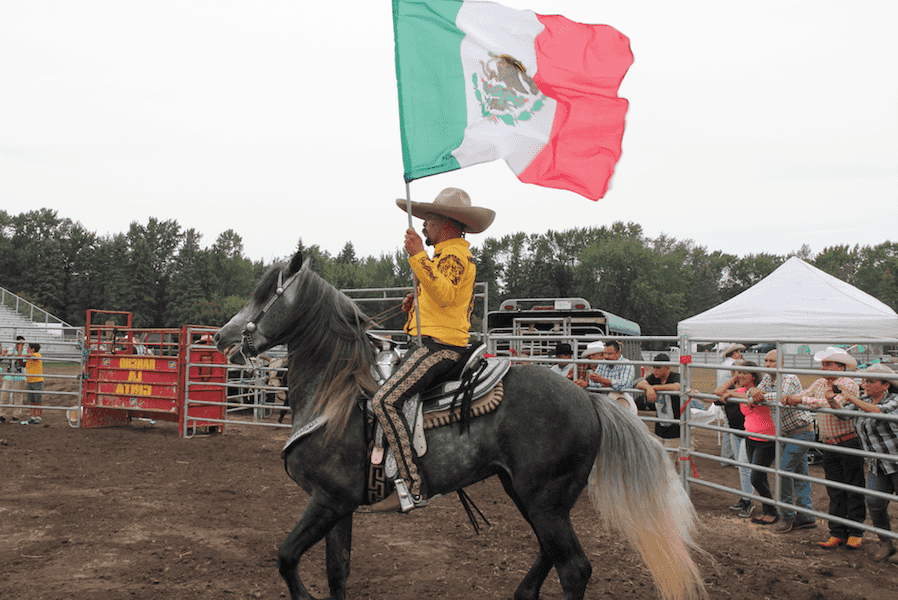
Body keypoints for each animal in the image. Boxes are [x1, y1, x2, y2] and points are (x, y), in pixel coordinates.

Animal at [214, 252, 704, 600]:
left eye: (265, 295)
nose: (221, 337)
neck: (337, 395)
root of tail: (587, 398)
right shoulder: (339, 506)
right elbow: (337, 573)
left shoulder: (327, 500)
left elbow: (286, 558)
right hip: (532, 495)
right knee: (550, 553)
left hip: (544, 500)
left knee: (574, 569)